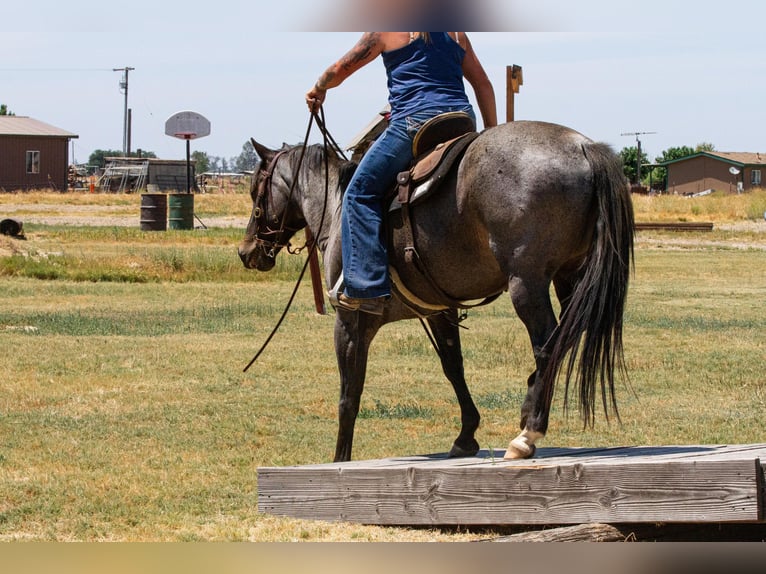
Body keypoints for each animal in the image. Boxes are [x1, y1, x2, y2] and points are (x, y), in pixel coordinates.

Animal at [240, 120, 636, 464]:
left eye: (256, 190)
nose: (247, 251)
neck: (337, 209)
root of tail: (582, 147)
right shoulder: (438, 312)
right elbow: (453, 367)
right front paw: (466, 435)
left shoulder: (351, 321)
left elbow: (349, 393)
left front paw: (341, 459)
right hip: (570, 277)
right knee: (567, 336)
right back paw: (528, 406)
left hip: (527, 283)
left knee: (547, 345)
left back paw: (528, 434)